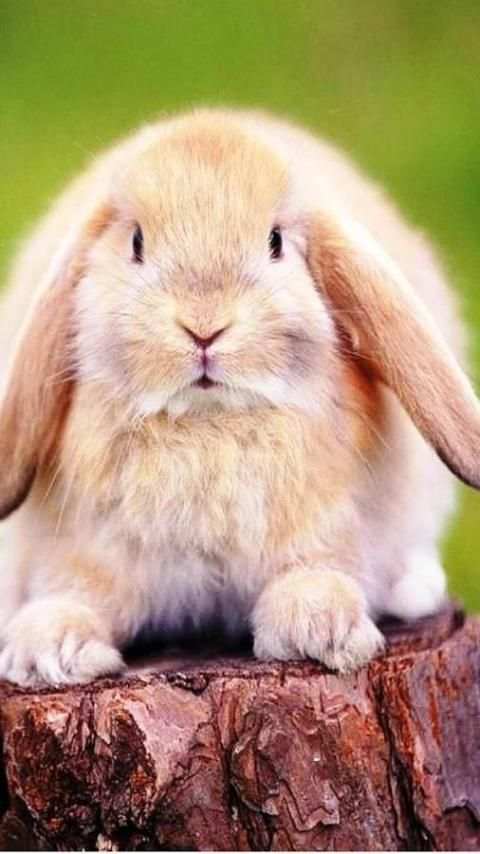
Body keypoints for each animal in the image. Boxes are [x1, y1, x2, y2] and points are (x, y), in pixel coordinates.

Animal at [0, 108, 479, 688]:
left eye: (275, 242)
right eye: (136, 243)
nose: (204, 327)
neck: (209, 425)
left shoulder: (330, 532)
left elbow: (320, 571)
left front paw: (319, 629)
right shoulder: (90, 550)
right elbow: (77, 592)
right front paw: (48, 651)